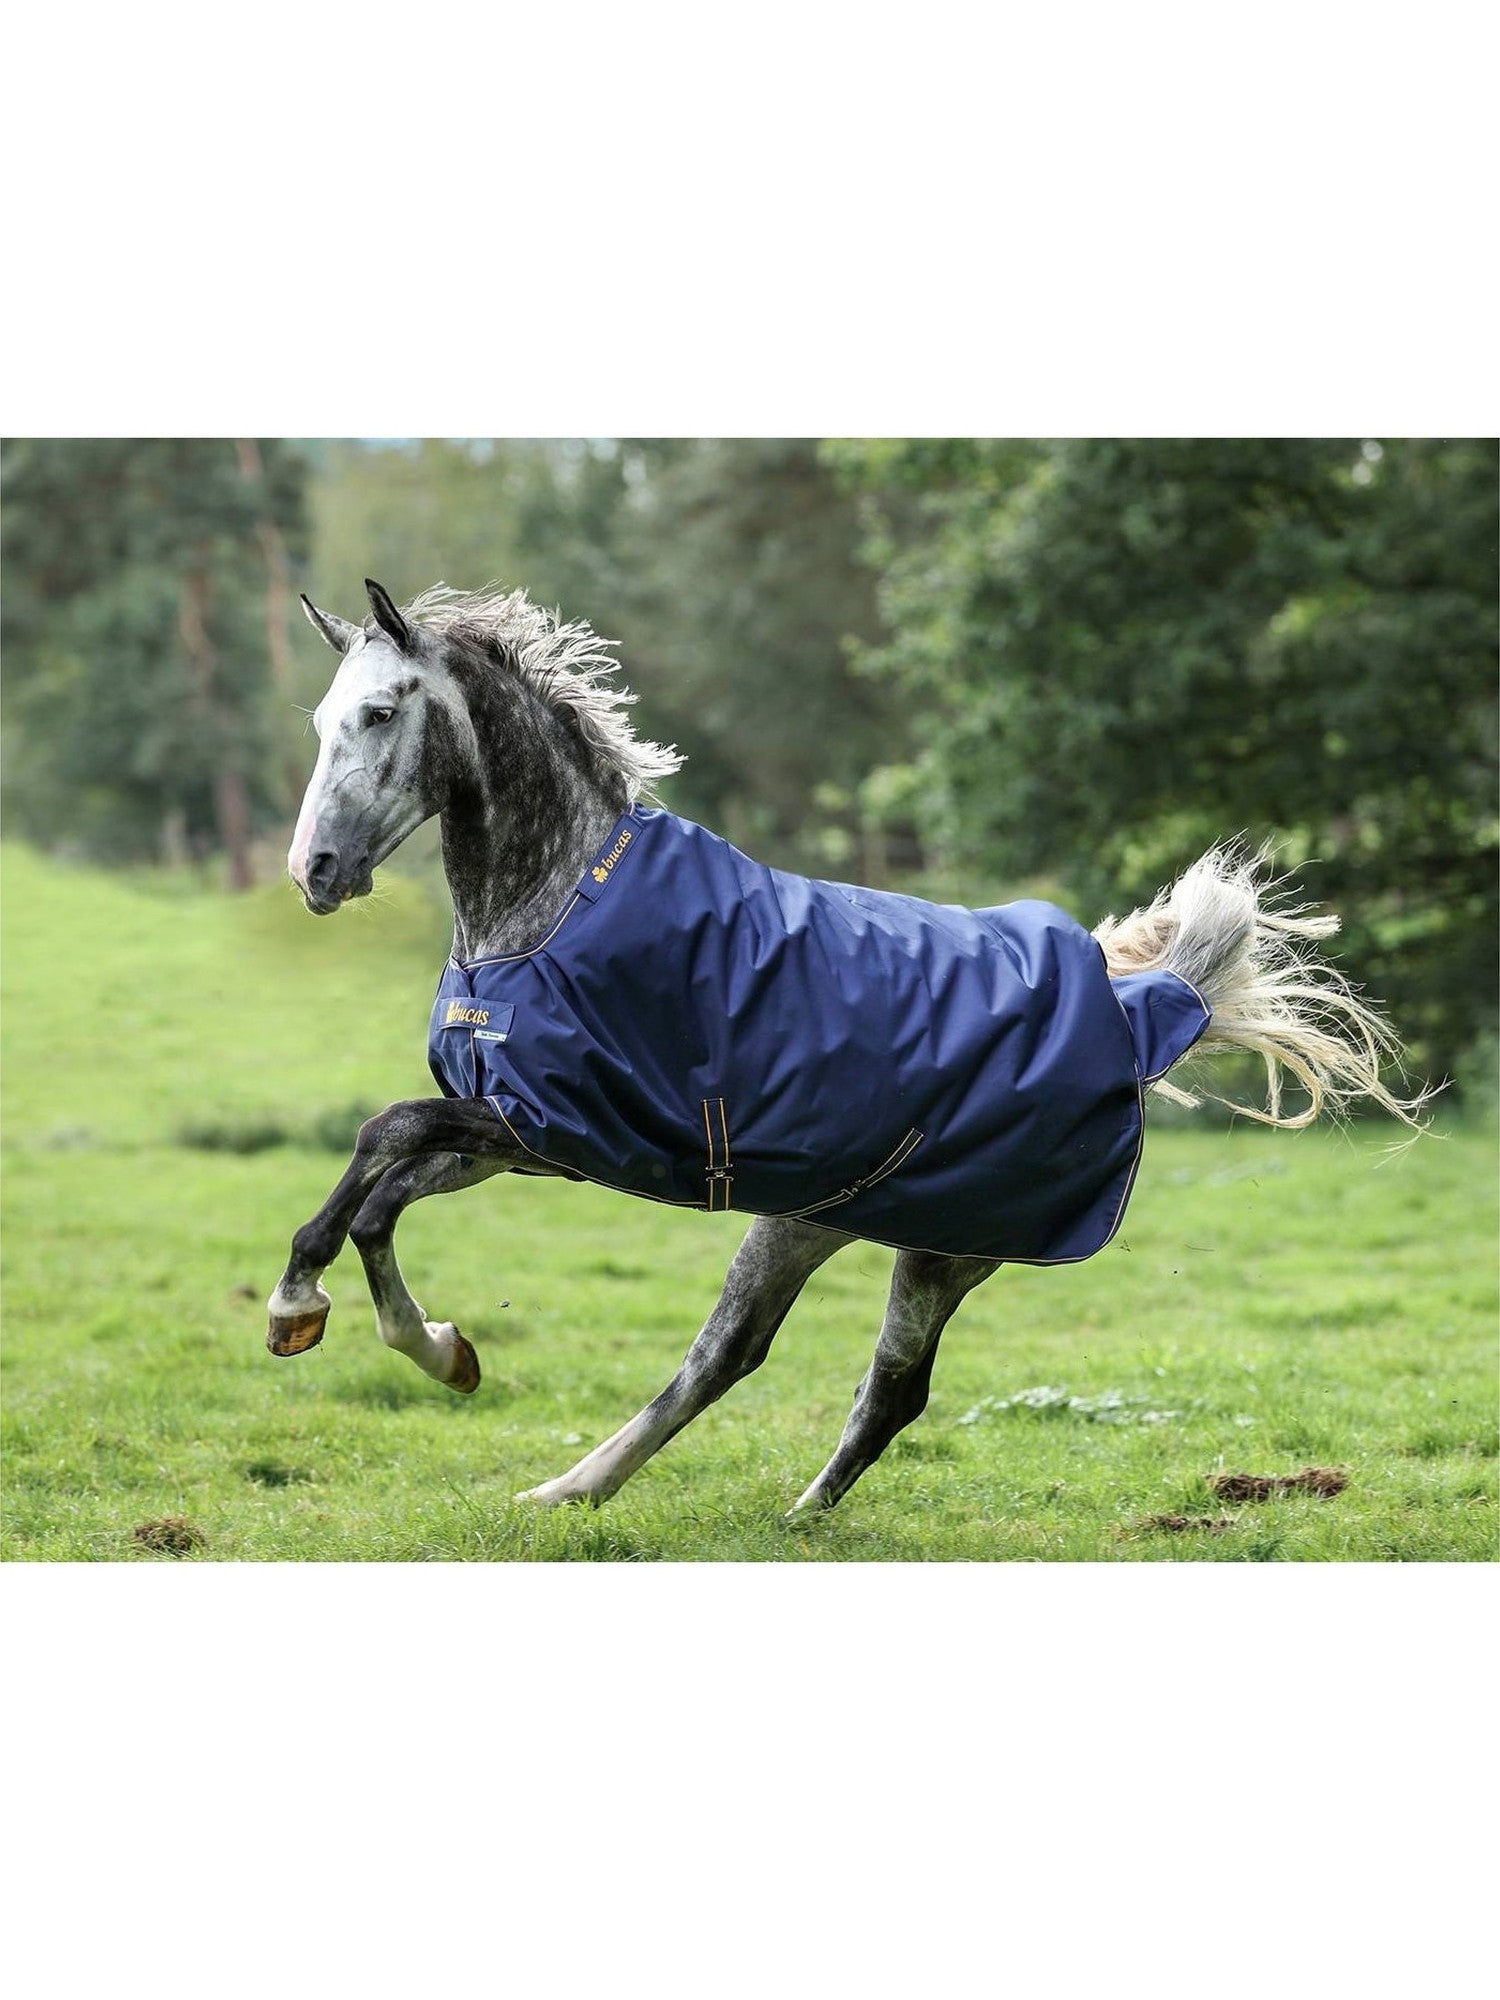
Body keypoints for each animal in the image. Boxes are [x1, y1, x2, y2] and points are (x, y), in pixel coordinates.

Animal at [267, 578, 1424, 1515]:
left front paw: (329, 1316)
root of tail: (1134, 1005)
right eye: (320, 718)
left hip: (934, 1245)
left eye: (380, 712)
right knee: (812, 1372)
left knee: (789, 1368)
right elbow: (376, 1188)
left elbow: (386, 1138)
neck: (551, 910)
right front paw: (412, 1340)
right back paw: (673, 1498)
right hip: (825, 1220)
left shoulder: (567, 1128)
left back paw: (607, 1495)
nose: (313, 872)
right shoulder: (519, 1136)